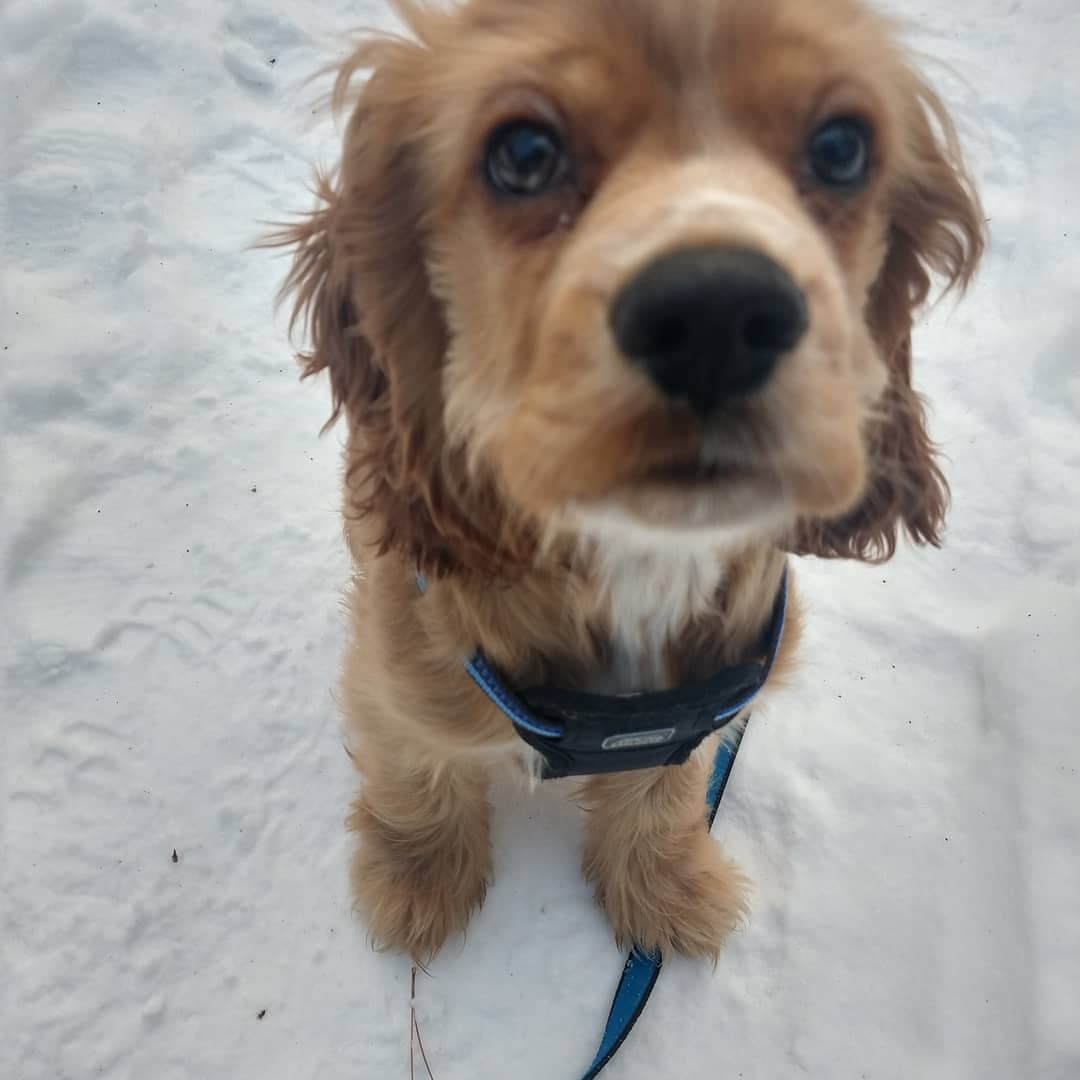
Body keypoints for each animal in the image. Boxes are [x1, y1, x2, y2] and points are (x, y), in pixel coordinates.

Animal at [272, 0, 983, 962]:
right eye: (524, 154)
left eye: (841, 147)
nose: (719, 313)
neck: (639, 560)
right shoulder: (400, 682)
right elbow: (417, 773)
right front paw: (418, 882)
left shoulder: (700, 718)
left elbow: (662, 798)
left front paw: (665, 889)